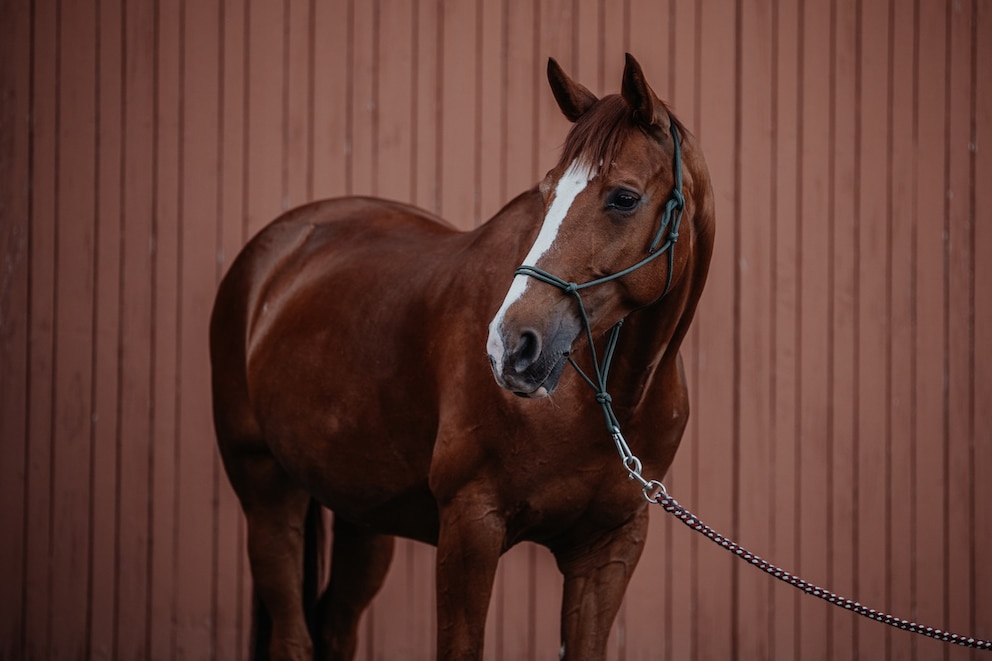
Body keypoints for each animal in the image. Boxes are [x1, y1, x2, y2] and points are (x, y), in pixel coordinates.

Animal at [210, 53, 714, 661]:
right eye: (546, 193)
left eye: (624, 197)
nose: (510, 347)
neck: (601, 402)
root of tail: (274, 252)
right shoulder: (471, 526)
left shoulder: (608, 550)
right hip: (267, 495)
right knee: (292, 636)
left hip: (362, 517)